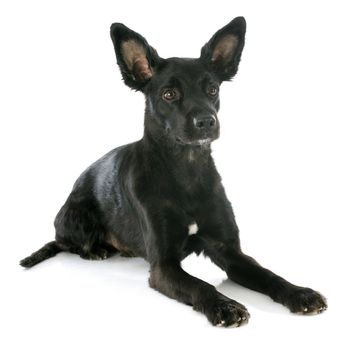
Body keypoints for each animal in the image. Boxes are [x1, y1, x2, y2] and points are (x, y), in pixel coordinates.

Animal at [21, 17, 328, 326]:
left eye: (212, 89)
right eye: (169, 94)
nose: (207, 121)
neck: (187, 170)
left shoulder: (230, 251)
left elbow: (267, 274)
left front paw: (300, 294)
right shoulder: (163, 266)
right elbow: (200, 285)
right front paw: (224, 306)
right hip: (77, 216)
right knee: (66, 242)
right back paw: (96, 250)